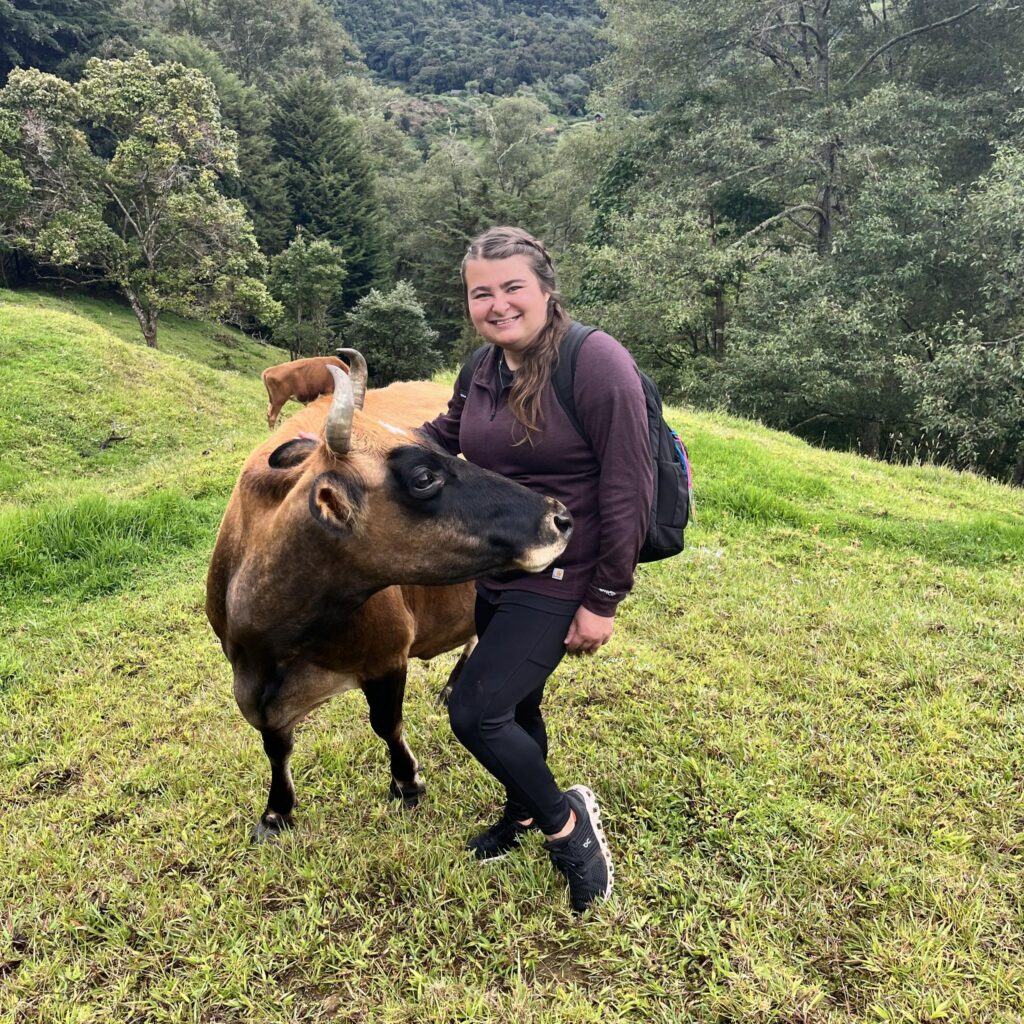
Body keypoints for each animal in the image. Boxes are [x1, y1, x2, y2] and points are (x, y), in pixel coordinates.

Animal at [205, 348, 577, 835]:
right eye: (423, 478)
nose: (559, 517)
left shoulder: (386, 656)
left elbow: (386, 723)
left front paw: (406, 782)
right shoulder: (250, 683)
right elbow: (275, 745)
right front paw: (276, 811)